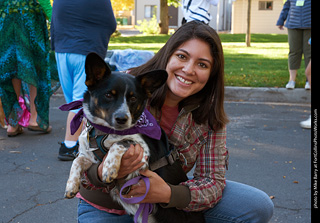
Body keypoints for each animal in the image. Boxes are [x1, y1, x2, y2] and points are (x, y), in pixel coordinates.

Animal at [62, 52, 205, 223]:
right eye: (108, 95)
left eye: (133, 98)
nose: (122, 119)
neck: (105, 132)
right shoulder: (89, 157)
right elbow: (77, 161)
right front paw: (71, 186)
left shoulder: (143, 154)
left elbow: (121, 143)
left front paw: (109, 168)